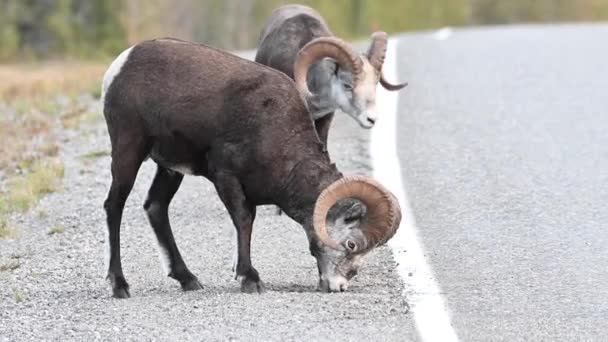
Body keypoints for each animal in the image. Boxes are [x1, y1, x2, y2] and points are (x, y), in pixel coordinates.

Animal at [102, 37, 402, 298]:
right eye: (351, 244)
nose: (338, 286)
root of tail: (120, 66)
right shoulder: (227, 178)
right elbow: (244, 221)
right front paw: (250, 279)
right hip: (128, 151)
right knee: (114, 206)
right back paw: (119, 285)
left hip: (170, 169)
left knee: (155, 207)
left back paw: (188, 279)